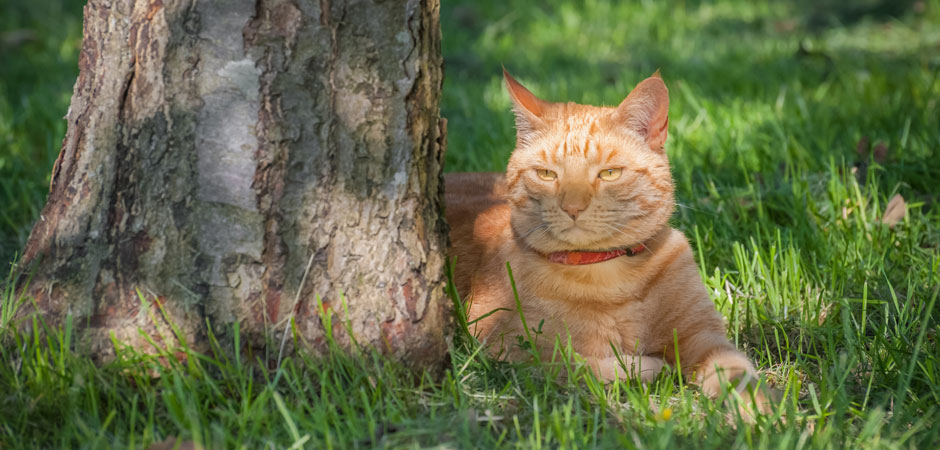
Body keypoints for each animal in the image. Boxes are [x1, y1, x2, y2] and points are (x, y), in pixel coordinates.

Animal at [448, 68, 772, 416]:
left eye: (610, 174)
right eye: (547, 174)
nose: (573, 207)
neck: (609, 276)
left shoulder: (705, 337)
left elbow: (740, 375)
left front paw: (764, 413)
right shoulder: (501, 345)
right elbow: (575, 363)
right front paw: (649, 367)